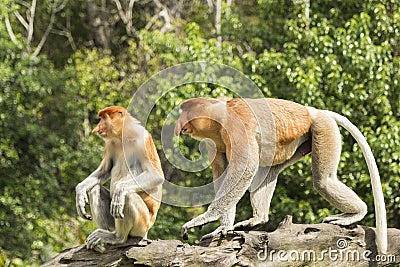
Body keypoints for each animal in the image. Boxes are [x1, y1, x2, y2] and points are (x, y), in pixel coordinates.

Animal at [75, 105, 164, 252]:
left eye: (103, 118)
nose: (97, 128)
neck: (122, 136)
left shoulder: (143, 139)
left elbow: (156, 175)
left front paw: (119, 190)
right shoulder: (110, 144)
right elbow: (104, 170)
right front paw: (80, 194)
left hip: (142, 225)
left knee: (128, 196)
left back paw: (118, 237)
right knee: (96, 190)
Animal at [175, 98, 388, 255]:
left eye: (184, 110)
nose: (178, 124)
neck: (219, 114)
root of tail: (313, 111)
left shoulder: (238, 127)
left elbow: (244, 168)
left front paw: (204, 219)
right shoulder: (213, 142)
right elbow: (223, 175)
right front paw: (222, 228)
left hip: (323, 128)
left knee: (324, 181)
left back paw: (356, 213)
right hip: (298, 143)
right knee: (270, 170)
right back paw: (257, 219)